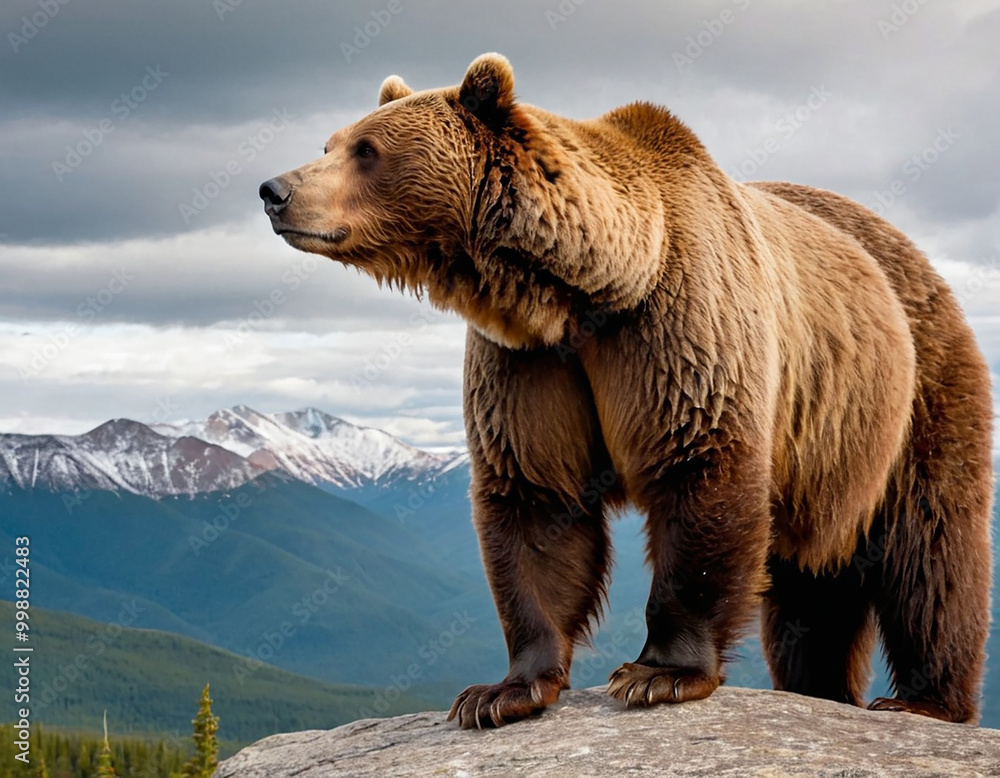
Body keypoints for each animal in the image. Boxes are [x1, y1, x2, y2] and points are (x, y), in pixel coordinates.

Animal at [259, 53, 993, 728]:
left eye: (365, 149)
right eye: (330, 142)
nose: (274, 189)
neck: (585, 291)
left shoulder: (676, 327)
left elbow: (700, 471)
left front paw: (658, 674)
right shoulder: (530, 364)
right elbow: (535, 501)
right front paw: (501, 692)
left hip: (918, 392)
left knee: (931, 552)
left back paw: (922, 699)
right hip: (829, 458)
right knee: (810, 588)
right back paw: (817, 687)